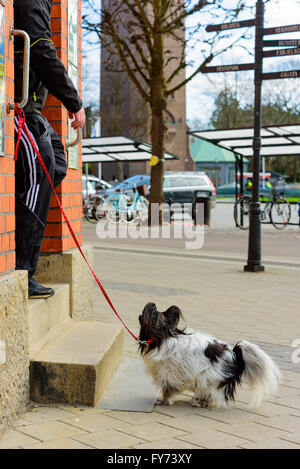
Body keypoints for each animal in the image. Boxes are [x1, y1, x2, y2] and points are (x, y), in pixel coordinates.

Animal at [139, 304, 282, 406]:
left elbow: (167, 387)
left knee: (211, 392)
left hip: (207, 377)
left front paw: (163, 400)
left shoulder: (169, 372)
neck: (165, 335)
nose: (142, 312)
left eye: (150, 315)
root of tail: (235, 354)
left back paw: (200, 402)